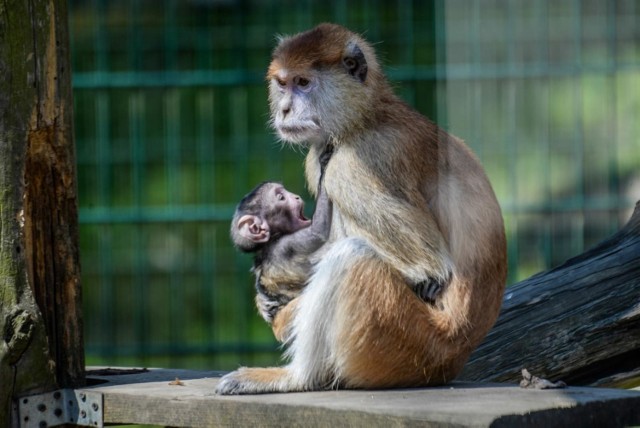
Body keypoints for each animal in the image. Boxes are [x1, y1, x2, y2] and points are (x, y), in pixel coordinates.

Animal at [218, 23, 508, 394]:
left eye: (303, 83)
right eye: (282, 83)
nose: (284, 110)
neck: (365, 116)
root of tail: (454, 352)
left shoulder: (354, 163)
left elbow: (429, 271)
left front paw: (279, 310)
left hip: (401, 340)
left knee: (351, 257)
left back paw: (295, 378)